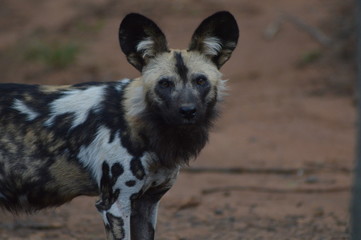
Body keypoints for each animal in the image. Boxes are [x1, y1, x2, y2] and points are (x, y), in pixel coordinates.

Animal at [0, 10, 238, 238]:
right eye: (165, 84)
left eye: (200, 81)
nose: (188, 111)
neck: (144, 126)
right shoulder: (114, 205)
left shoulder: (146, 203)